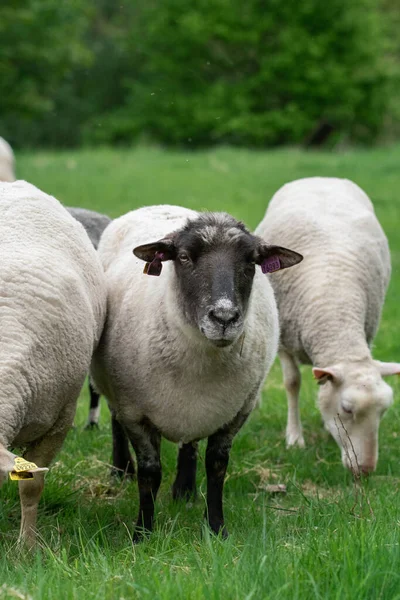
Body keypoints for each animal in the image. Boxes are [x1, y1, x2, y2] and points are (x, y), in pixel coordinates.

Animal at [90, 203, 304, 540]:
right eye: (184, 257)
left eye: (251, 262)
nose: (224, 317)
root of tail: (161, 206)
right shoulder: (135, 412)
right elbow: (149, 473)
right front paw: (142, 533)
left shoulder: (236, 412)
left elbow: (216, 466)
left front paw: (216, 529)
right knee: (114, 419)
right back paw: (120, 470)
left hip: (195, 408)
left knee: (188, 443)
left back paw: (185, 490)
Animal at [256, 176, 400, 476]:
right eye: (347, 409)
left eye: (383, 411)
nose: (365, 470)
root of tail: (320, 178)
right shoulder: (285, 340)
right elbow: (292, 383)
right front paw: (294, 438)